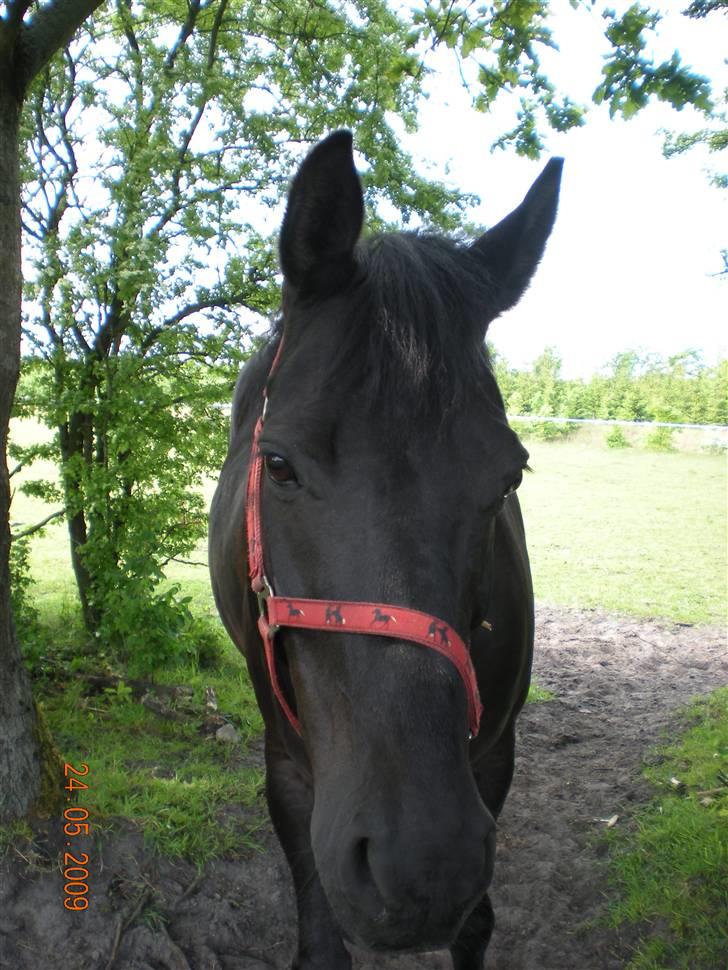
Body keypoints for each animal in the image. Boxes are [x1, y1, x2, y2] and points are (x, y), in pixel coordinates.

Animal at [210, 130, 564, 968]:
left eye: (510, 476)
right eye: (278, 464)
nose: (422, 864)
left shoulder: (493, 756)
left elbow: (476, 924)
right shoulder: (287, 766)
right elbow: (319, 937)